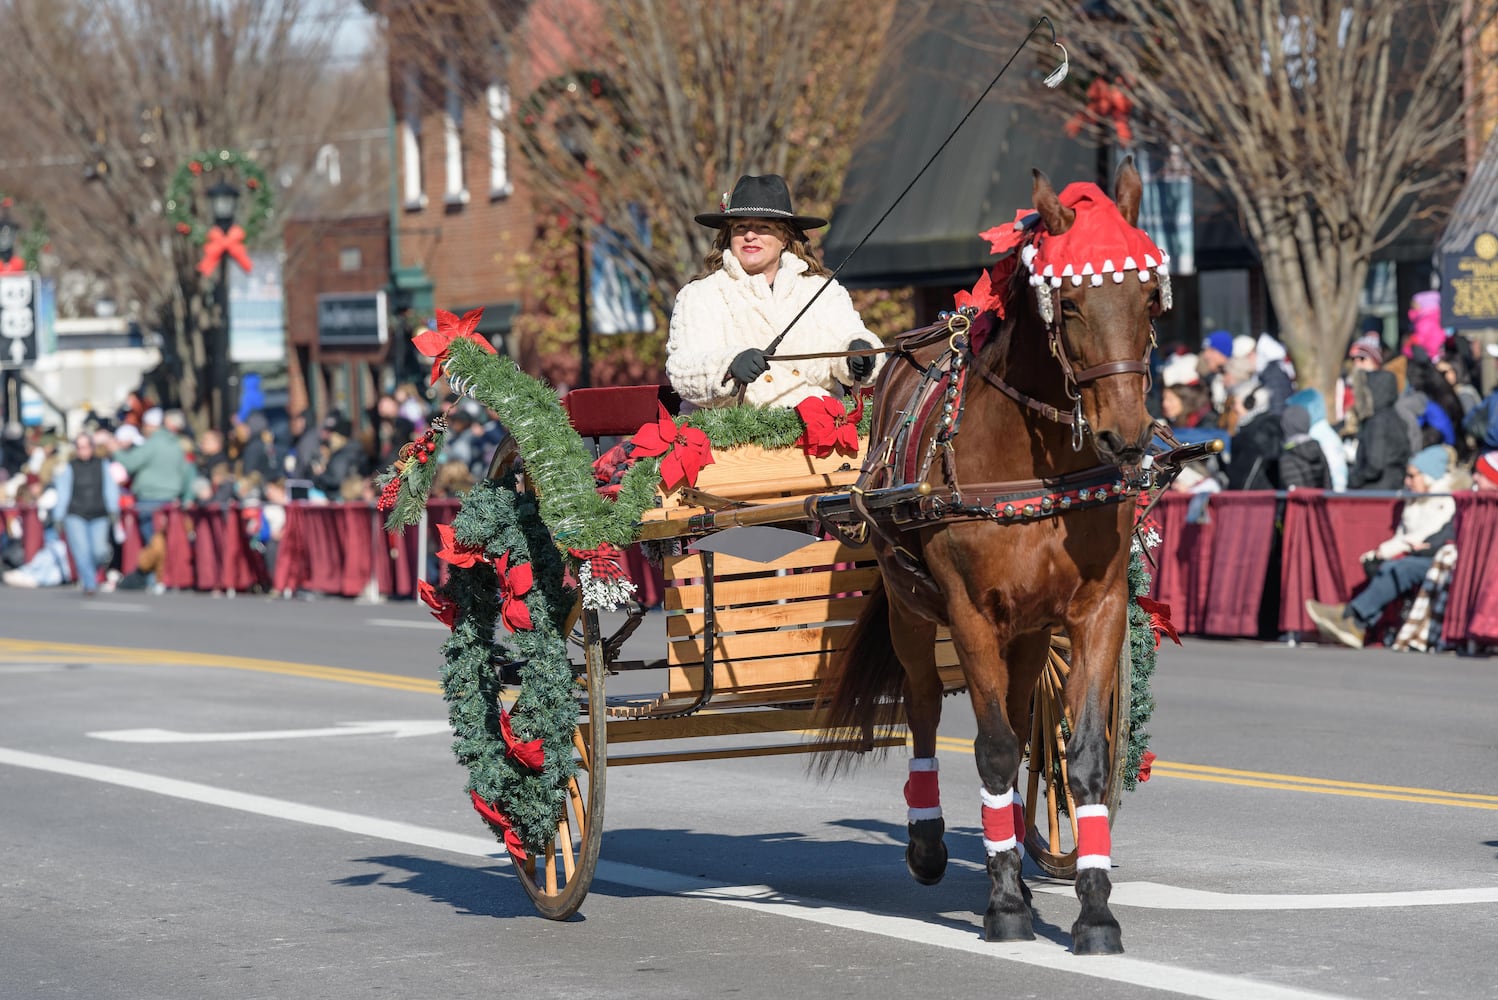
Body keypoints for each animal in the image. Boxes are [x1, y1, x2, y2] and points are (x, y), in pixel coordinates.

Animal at [820, 157, 1168, 952]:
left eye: (1150, 299)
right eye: (1069, 304)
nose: (1127, 435)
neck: (1031, 466)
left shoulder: (1096, 609)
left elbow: (1083, 756)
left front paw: (1093, 910)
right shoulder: (970, 613)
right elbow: (995, 749)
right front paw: (1004, 904)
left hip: (1032, 632)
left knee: (1020, 708)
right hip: (913, 608)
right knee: (922, 705)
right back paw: (929, 842)